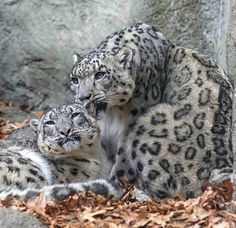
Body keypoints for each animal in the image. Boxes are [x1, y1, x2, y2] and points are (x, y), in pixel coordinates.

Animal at [0, 23, 234, 201]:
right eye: (75, 79)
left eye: (100, 74)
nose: (83, 97)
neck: (114, 114)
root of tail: (222, 163)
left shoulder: (127, 131)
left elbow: (120, 165)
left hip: (146, 125)